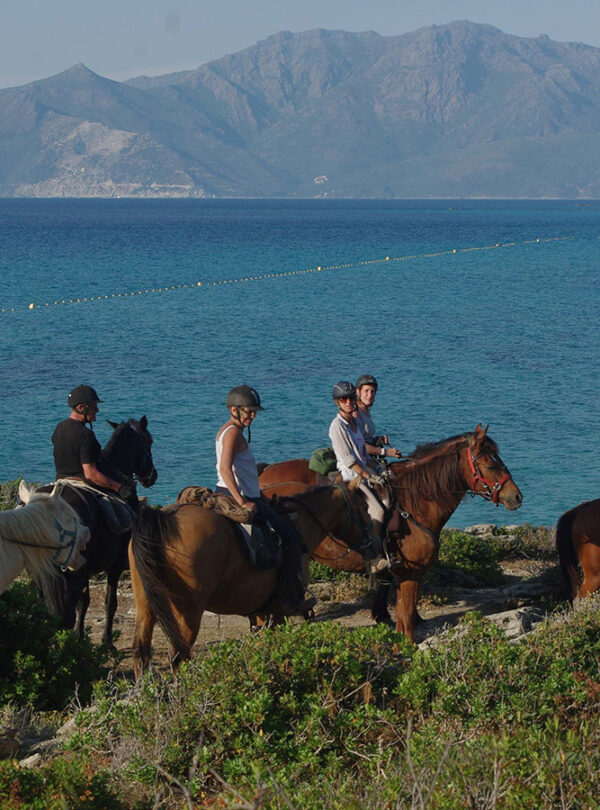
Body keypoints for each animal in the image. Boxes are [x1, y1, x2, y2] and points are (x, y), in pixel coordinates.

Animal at [42, 416, 157, 645]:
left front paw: (79, 636)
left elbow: (84, 601)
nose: (153, 476)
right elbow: (109, 602)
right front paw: (106, 640)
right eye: (148, 442)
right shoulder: (115, 565)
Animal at [128, 478, 374, 677]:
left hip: (145, 605)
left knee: (141, 653)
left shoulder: (261, 612)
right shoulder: (277, 612)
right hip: (188, 612)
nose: (373, 542)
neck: (300, 524)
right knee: (178, 657)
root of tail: (162, 517)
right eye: (364, 507)